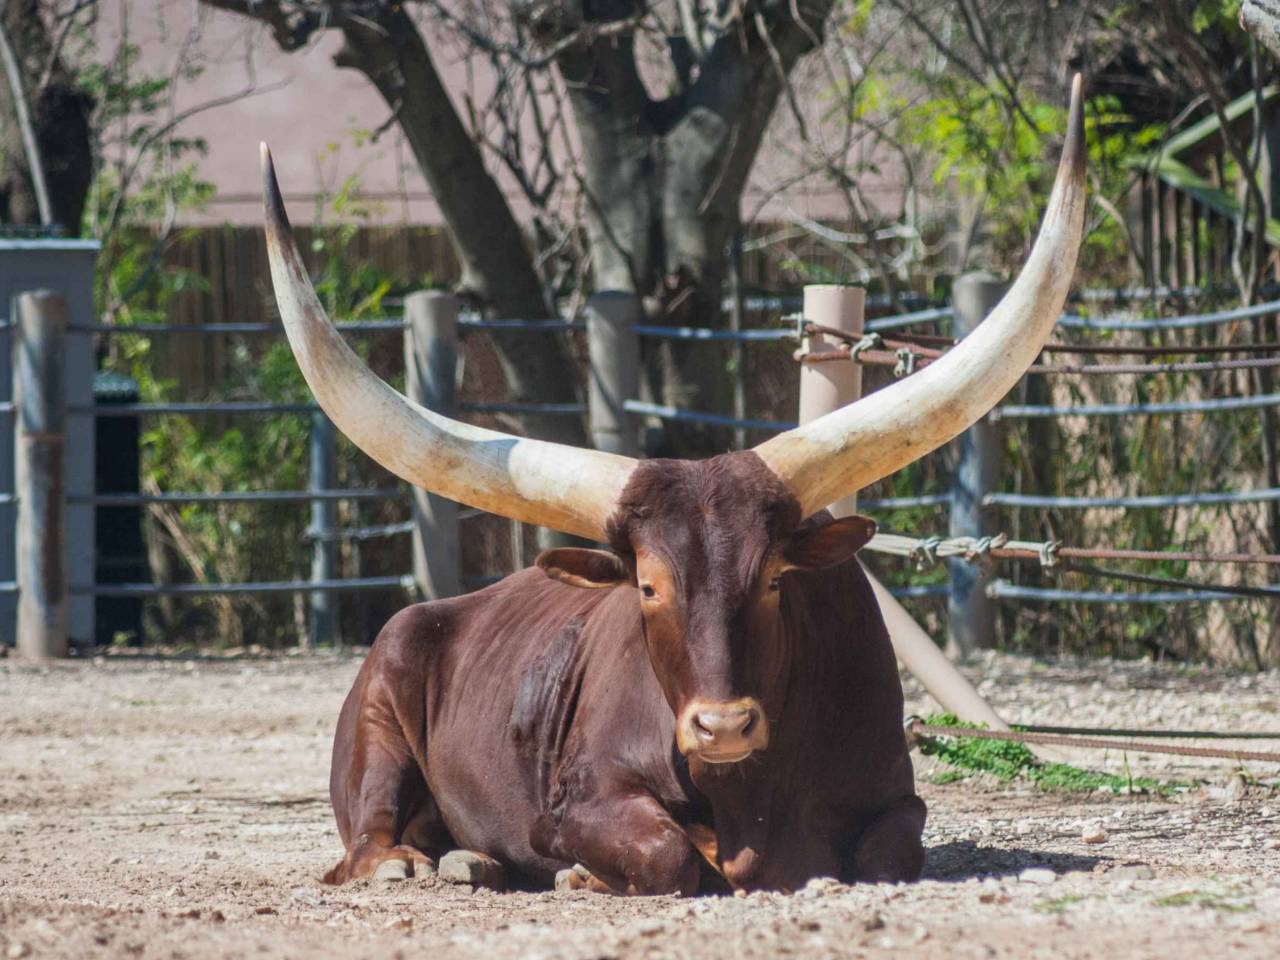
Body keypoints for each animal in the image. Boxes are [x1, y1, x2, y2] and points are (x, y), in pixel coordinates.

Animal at [259, 75, 1085, 894]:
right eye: (648, 588)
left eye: (775, 580)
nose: (721, 726)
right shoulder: (575, 803)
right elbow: (668, 852)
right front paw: (588, 875)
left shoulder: (897, 800)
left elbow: (889, 851)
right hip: (381, 710)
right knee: (367, 841)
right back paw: (417, 862)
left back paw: (474, 859)